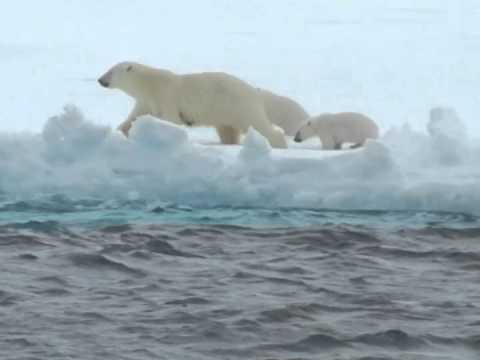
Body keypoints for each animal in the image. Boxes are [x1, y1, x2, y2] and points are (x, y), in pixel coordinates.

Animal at [95, 62, 286, 148]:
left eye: (111, 71)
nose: (100, 80)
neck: (148, 84)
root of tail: (254, 91)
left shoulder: (166, 96)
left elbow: (171, 119)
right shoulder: (146, 101)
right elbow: (133, 119)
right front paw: (119, 132)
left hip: (238, 106)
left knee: (258, 125)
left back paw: (279, 143)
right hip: (225, 113)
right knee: (227, 130)